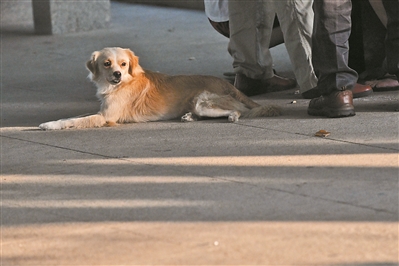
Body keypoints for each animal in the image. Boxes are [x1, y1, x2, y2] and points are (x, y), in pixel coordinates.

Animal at [39, 47, 280, 131]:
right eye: (107, 64)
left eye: (123, 64)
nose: (117, 74)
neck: (122, 84)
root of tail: (229, 84)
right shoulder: (102, 110)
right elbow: (74, 116)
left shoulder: (105, 117)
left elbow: (76, 120)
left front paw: (50, 125)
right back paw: (189, 117)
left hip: (204, 102)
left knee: (238, 110)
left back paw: (231, 116)